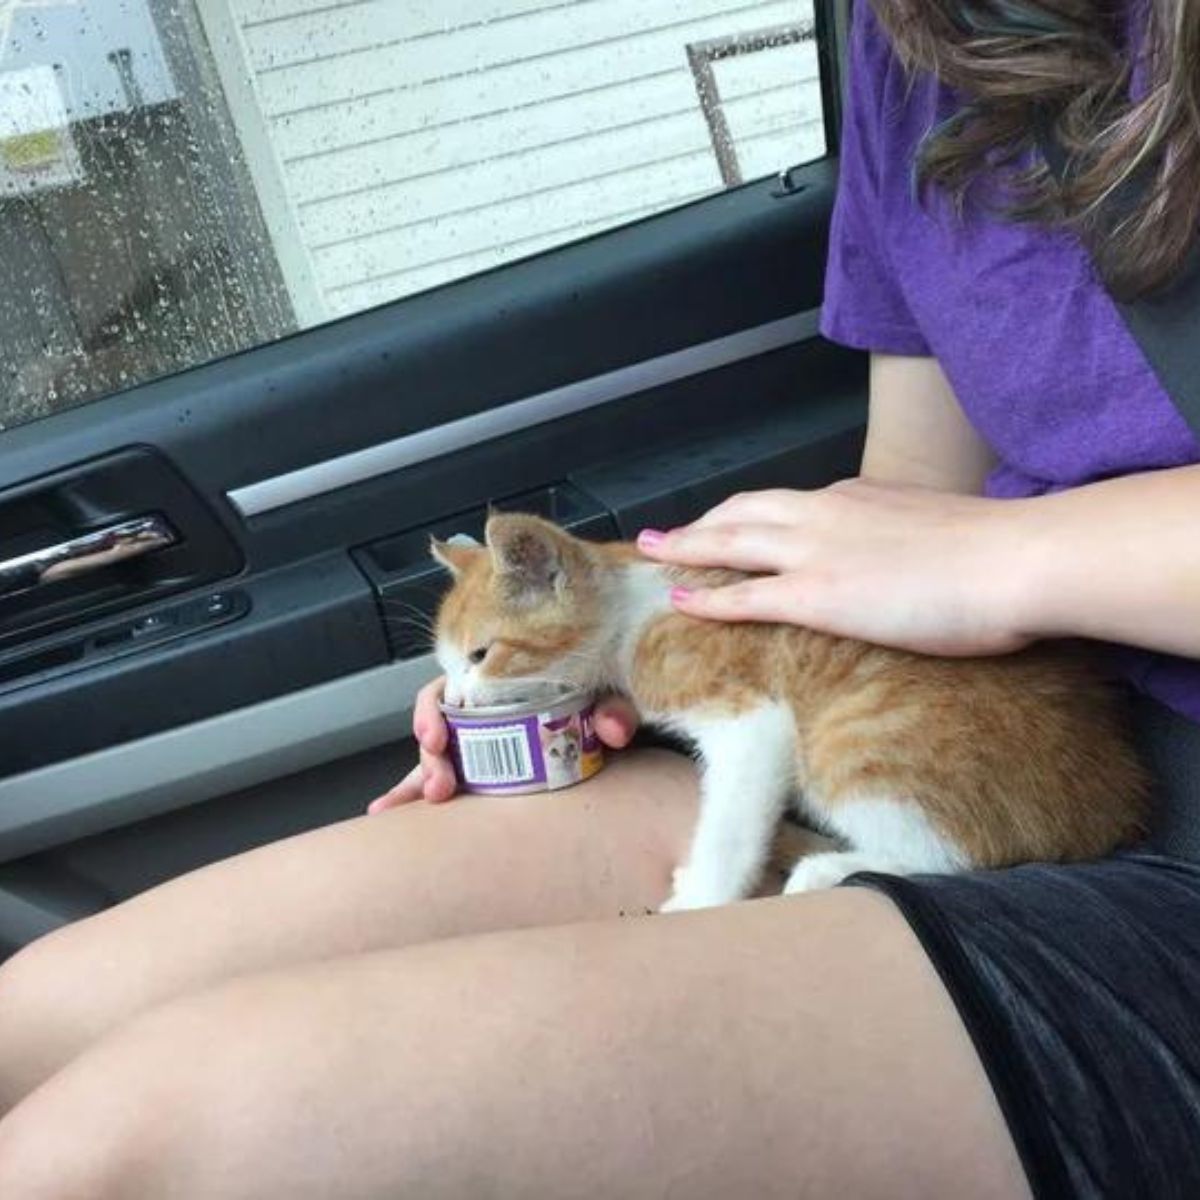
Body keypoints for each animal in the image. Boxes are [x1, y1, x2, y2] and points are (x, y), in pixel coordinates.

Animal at [434, 508, 1152, 907]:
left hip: (848, 738)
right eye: (446, 666)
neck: (629, 610)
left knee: (962, 855)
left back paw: (825, 867)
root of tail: (1117, 804)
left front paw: (703, 898)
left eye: (481, 655)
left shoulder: (755, 722)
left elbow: (730, 821)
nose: (457, 701)